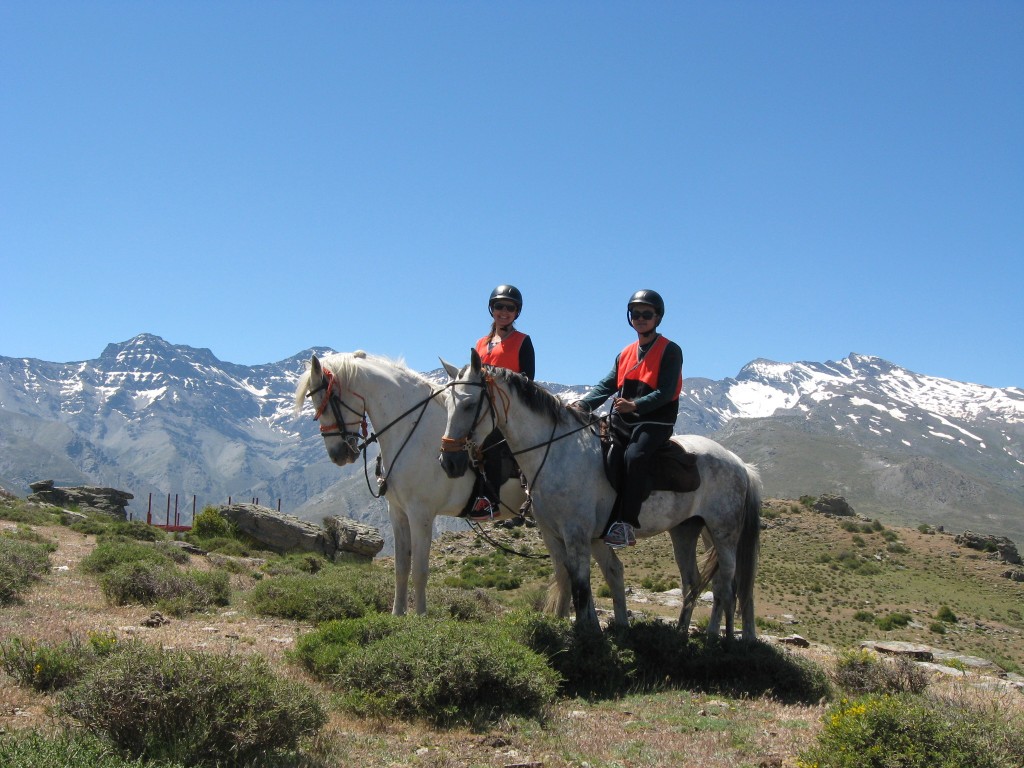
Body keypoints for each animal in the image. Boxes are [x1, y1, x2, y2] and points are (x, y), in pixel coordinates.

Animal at [290, 352, 524, 618]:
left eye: (327, 401)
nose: (337, 454)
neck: (412, 431)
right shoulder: (398, 512)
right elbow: (401, 567)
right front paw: (398, 613)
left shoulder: (421, 514)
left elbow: (420, 570)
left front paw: (421, 616)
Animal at [436, 352, 765, 638]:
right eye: (447, 405)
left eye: (469, 404)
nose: (448, 462)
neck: (555, 451)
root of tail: (740, 465)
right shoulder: (552, 534)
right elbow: (567, 576)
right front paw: (567, 627)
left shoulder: (577, 533)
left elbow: (581, 585)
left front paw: (586, 637)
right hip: (687, 531)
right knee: (695, 583)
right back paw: (683, 634)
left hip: (723, 532)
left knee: (726, 585)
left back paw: (715, 638)